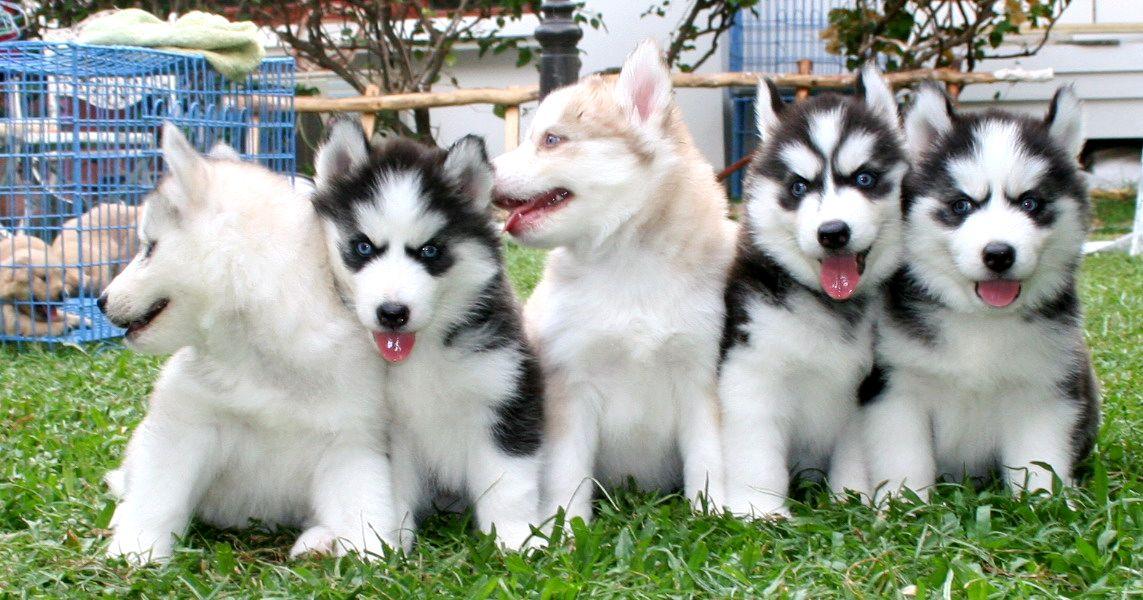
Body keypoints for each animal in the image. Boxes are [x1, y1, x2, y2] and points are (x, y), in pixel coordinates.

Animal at [99, 124, 399, 564]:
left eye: (148, 248)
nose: (100, 301)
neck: (255, 350)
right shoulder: (183, 429)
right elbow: (156, 498)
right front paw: (136, 552)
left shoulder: (349, 443)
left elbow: (364, 507)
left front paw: (372, 556)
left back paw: (318, 540)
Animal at [311, 121, 545, 550]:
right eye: (363, 247)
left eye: (430, 251)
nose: (392, 314)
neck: (421, 355)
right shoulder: (386, 430)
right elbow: (386, 493)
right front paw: (389, 548)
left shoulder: (508, 394)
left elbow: (509, 483)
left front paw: (515, 538)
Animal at [491, 40, 736, 523]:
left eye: (551, 139)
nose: (484, 169)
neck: (628, 265)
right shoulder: (571, 382)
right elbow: (568, 472)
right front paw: (565, 528)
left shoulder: (700, 376)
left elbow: (709, 458)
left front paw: (713, 515)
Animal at [719, 65, 907, 517]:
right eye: (799, 187)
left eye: (864, 178)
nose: (833, 233)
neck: (829, 303)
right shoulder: (751, 370)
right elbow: (757, 454)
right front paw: (759, 510)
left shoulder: (866, 388)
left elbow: (856, 454)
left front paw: (851, 499)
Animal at [862, 84, 1100, 501]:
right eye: (962, 205)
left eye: (1030, 202)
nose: (999, 254)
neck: (980, 323)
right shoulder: (897, 389)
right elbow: (905, 462)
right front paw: (901, 506)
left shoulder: (1043, 394)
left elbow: (1041, 464)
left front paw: (1047, 505)